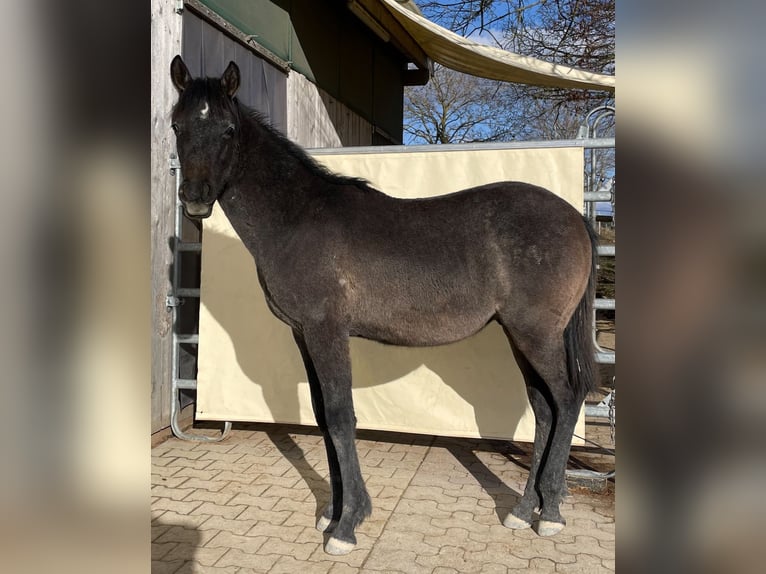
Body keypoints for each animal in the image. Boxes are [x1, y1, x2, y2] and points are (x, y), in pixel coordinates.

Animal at [171, 56, 604, 556]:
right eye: (177, 124)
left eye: (227, 130)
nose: (195, 198)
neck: (298, 217)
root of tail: (573, 217)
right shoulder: (304, 334)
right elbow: (322, 416)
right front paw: (332, 512)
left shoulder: (326, 331)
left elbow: (341, 417)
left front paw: (347, 525)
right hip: (520, 335)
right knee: (543, 407)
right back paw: (523, 509)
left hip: (537, 334)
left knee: (566, 399)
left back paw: (549, 513)